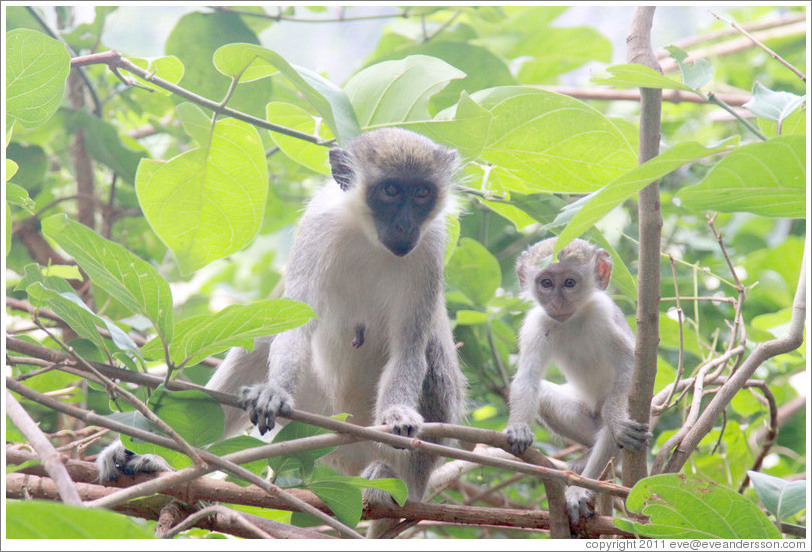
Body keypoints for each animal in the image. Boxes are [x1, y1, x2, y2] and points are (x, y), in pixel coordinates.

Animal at [98, 128, 466, 540]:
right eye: (390, 190)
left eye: (421, 194)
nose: (404, 226)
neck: (366, 234)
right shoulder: (317, 229)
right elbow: (293, 323)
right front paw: (273, 391)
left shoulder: (430, 248)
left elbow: (409, 347)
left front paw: (396, 415)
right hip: (318, 427)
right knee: (261, 341)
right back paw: (168, 460)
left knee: (430, 351)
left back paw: (389, 480)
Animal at [504, 236, 652, 520]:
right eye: (546, 283)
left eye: (569, 283)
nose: (557, 303)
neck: (574, 319)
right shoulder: (537, 323)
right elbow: (528, 376)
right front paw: (518, 427)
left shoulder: (603, 315)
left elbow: (629, 366)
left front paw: (617, 421)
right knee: (547, 396)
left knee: (611, 432)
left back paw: (581, 487)